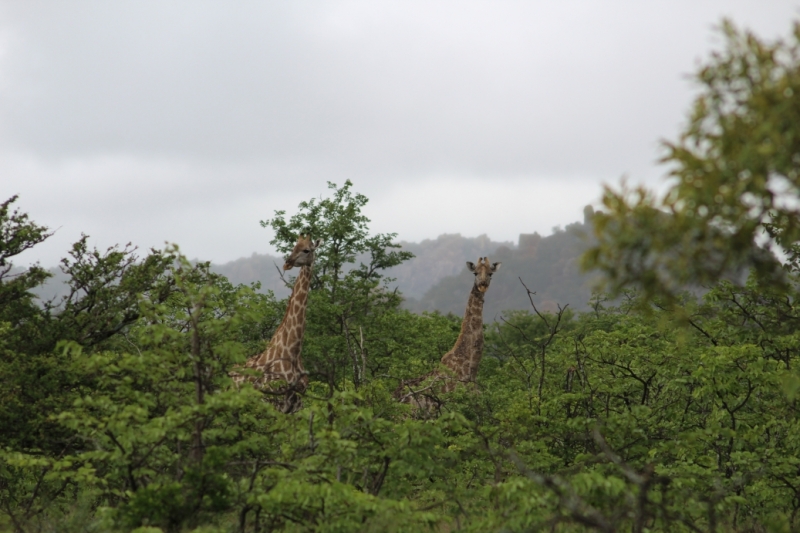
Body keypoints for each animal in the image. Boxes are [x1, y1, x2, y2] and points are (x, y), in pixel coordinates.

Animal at [230, 235, 320, 414]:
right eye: (293, 247)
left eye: (306, 250)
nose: (287, 263)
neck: (293, 351)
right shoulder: (272, 401)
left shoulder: (296, 406)